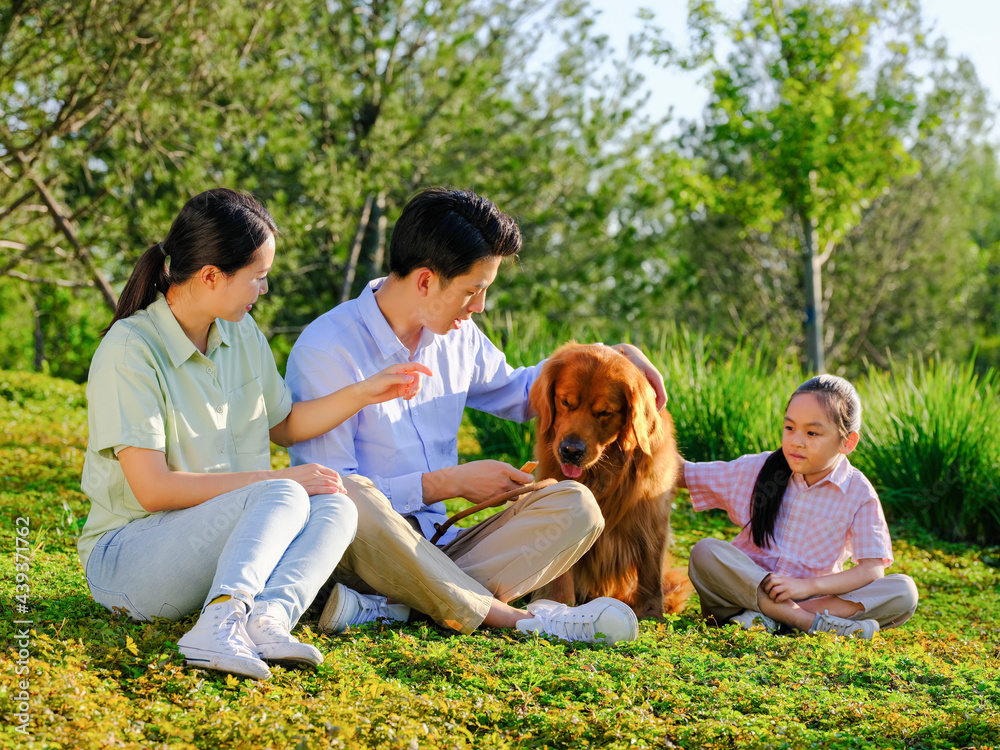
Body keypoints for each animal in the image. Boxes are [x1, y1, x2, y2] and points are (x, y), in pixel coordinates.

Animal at [528, 344, 692, 620]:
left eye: (605, 412)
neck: (602, 473)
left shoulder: (651, 516)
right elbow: (562, 570)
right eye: (565, 402)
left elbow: (651, 570)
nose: (571, 451)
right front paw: (558, 603)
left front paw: (652, 612)